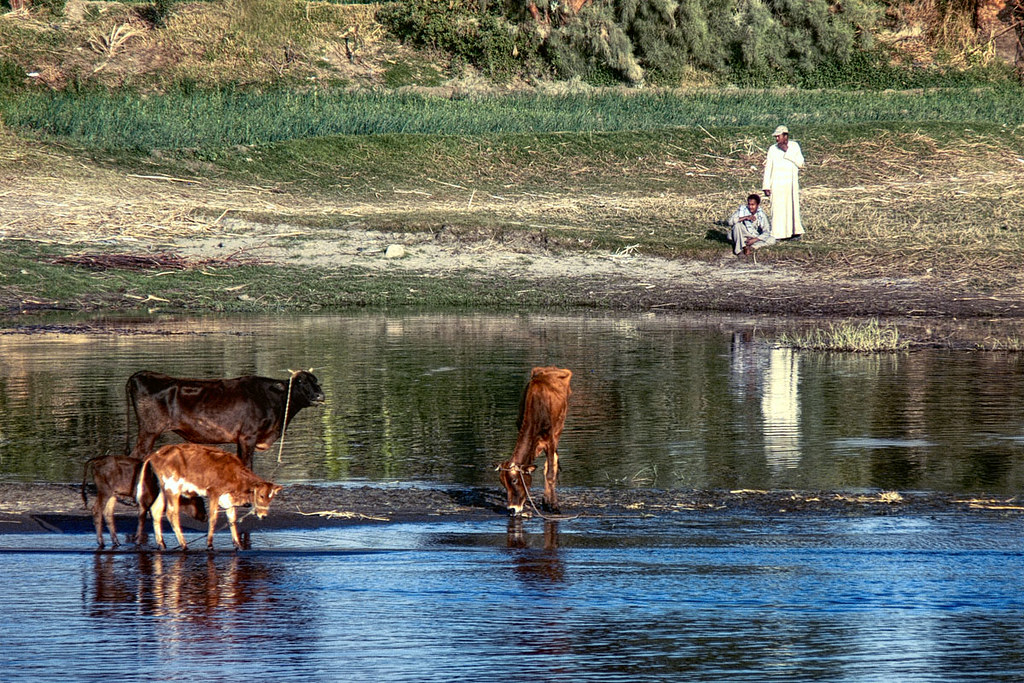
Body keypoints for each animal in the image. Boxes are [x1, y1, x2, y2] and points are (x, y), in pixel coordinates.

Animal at [125, 370, 323, 466]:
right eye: (300, 382)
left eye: (316, 381)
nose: (320, 395)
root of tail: (141, 374)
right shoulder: (248, 436)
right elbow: (247, 464)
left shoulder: (240, 439)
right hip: (150, 430)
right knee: (137, 456)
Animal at [138, 444, 284, 548]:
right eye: (261, 495)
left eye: (271, 497)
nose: (263, 515)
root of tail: (155, 455)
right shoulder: (214, 492)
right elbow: (213, 518)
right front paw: (209, 544)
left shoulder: (227, 498)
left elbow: (232, 519)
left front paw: (238, 545)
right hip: (173, 488)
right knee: (171, 514)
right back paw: (183, 545)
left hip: (164, 489)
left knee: (156, 510)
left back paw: (162, 544)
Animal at [497, 366, 573, 516]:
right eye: (503, 483)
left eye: (514, 480)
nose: (512, 509)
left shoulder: (550, 441)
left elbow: (550, 473)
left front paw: (553, 505)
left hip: (559, 429)